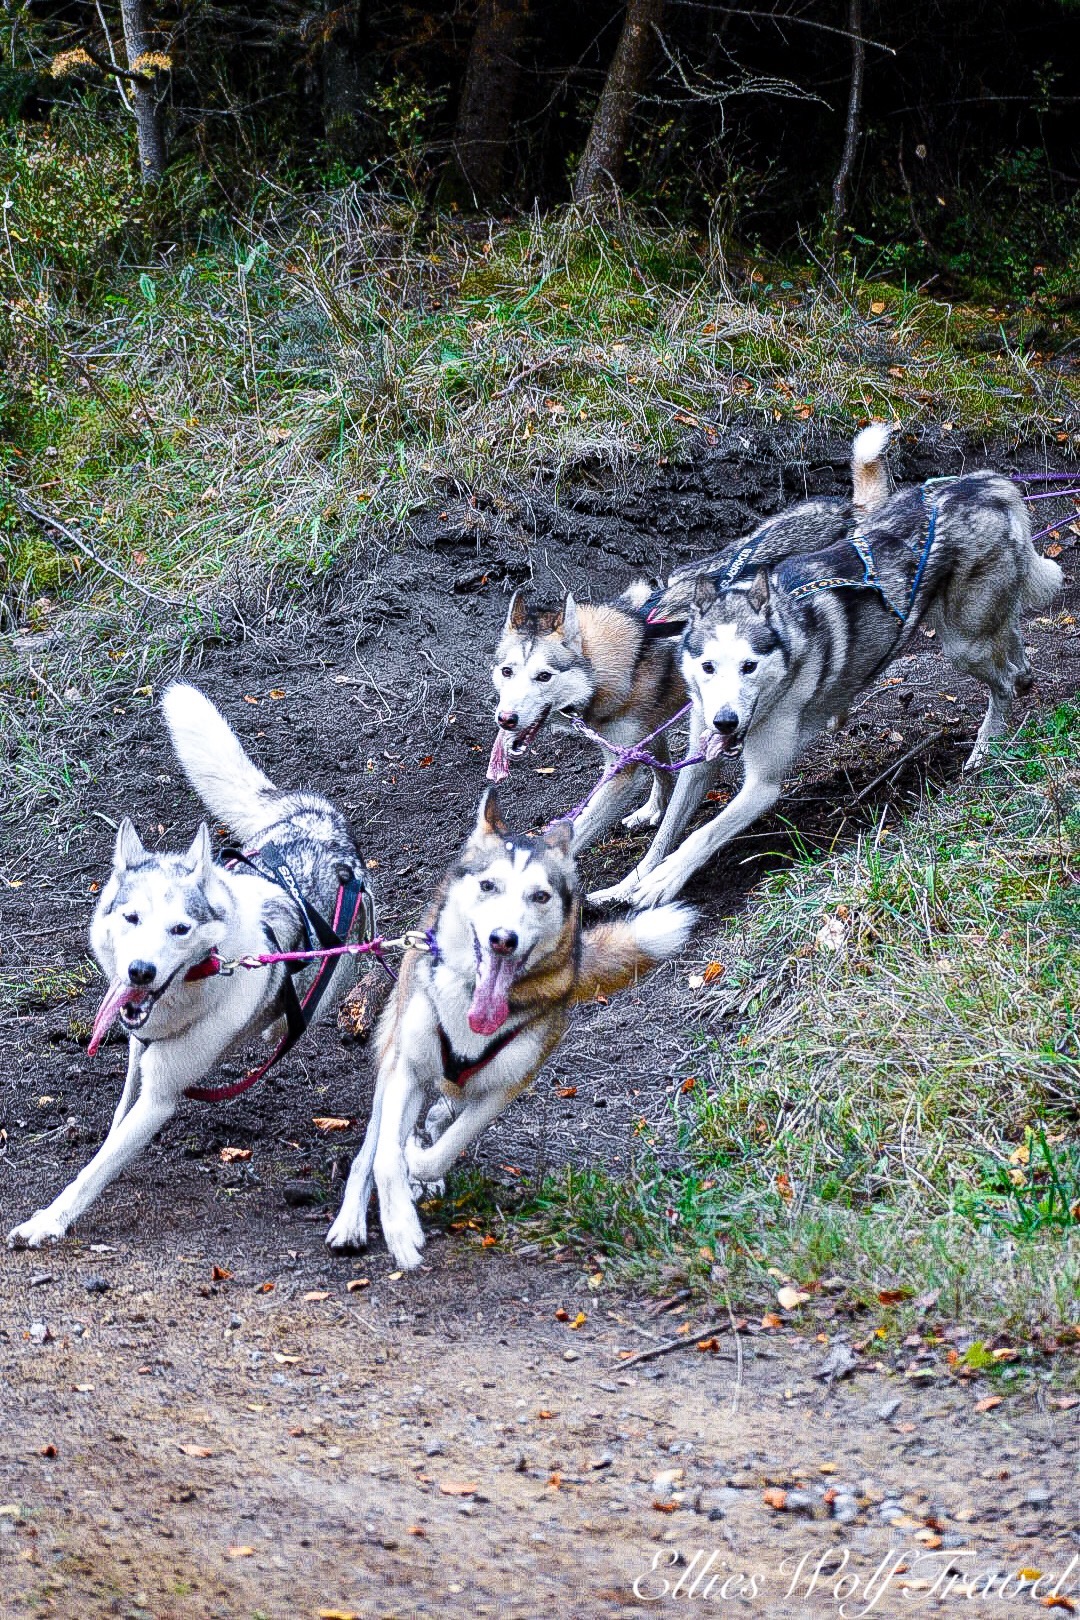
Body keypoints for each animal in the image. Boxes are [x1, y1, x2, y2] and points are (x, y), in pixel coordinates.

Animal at [7, 683, 370, 1249]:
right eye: (132, 918)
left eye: (180, 929)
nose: (139, 972)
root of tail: (319, 822)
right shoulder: (140, 1055)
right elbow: (116, 1127)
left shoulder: (161, 1094)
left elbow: (93, 1171)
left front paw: (48, 1220)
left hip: (336, 974)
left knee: (299, 1013)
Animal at [326, 789, 695, 1271]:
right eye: (488, 886)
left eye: (539, 896)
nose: (504, 939)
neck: (470, 1004)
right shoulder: (406, 1069)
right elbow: (387, 1157)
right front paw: (402, 1228)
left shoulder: (506, 1086)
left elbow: (442, 1149)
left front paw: (421, 1168)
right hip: (395, 1059)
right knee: (370, 1150)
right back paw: (352, 1220)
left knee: (440, 1116)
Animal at [486, 424, 893, 851]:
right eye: (507, 672)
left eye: (544, 676)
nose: (506, 719)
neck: (618, 660)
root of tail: (851, 510)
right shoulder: (643, 739)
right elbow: (663, 772)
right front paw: (654, 810)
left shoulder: (622, 769)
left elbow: (581, 828)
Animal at [591, 471, 1062, 909]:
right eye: (708, 667)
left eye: (749, 666)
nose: (725, 721)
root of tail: (985, 482)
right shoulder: (700, 762)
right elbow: (665, 835)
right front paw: (625, 885)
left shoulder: (762, 786)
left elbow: (701, 835)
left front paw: (664, 881)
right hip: (976, 632)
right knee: (1014, 651)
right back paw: (1021, 679)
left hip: (963, 645)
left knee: (1003, 683)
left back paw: (987, 747)